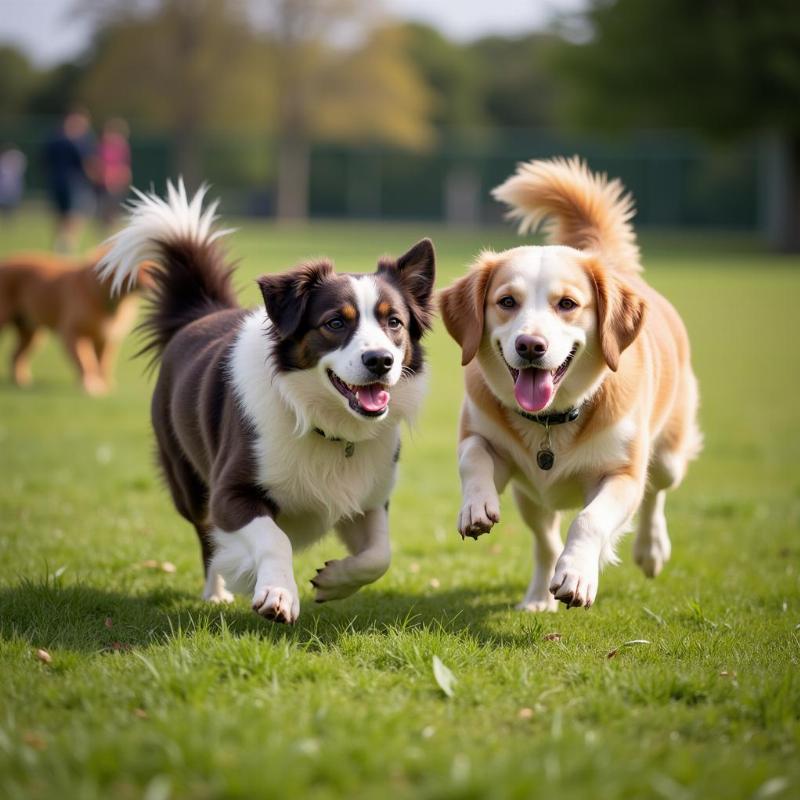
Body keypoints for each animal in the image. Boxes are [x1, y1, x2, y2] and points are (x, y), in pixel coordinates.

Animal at [0, 245, 147, 392]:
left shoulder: (105, 337)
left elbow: (103, 362)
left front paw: (104, 384)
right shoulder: (72, 333)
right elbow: (85, 360)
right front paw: (89, 384)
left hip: (31, 333)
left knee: (15, 356)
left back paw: (21, 381)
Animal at [101, 183, 438, 624]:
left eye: (394, 322)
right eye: (335, 322)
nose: (380, 360)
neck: (324, 424)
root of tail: (202, 311)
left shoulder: (370, 497)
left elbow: (380, 555)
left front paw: (334, 580)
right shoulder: (230, 492)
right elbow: (274, 538)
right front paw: (277, 593)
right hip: (188, 482)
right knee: (208, 537)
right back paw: (217, 592)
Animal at [438, 158, 700, 612]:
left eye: (567, 304)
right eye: (506, 302)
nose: (530, 345)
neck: (550, 420)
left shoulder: (621, 474)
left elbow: (590, 519)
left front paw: (577, 575)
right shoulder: (486, 441)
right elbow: (474, 457)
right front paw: (476, 507)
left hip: (668, 454)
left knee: (655, 492)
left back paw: (650, 550)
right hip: (532, 498)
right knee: (545, 538)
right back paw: (539, 596)